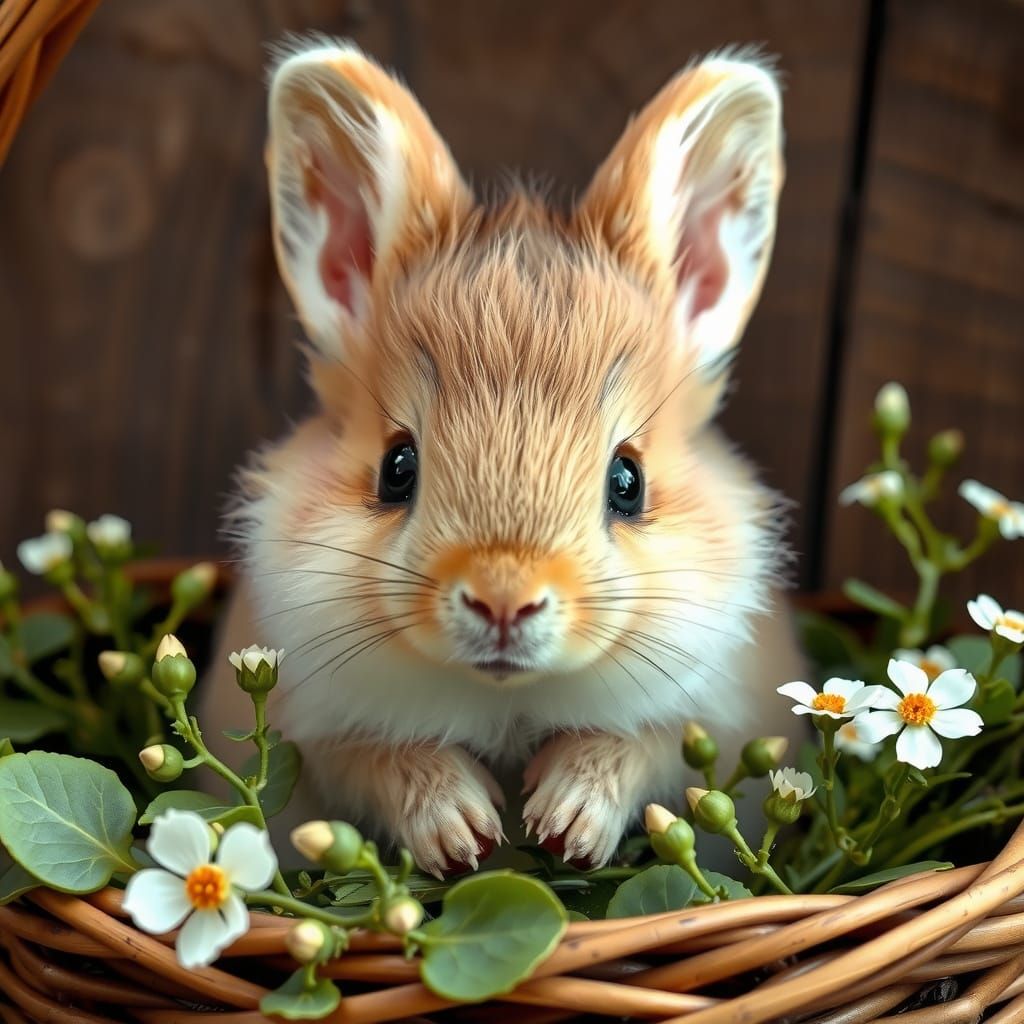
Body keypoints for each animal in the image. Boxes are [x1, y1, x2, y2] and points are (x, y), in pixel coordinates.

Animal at [200, 38, 807, 878]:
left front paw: (568, 823)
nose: (503, 599)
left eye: (628, 480)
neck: (505, 696)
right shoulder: (319, 729)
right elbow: (380, 758)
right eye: (397, 468)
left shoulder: (705, 716)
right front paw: (461, 833)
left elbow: (638, 747)